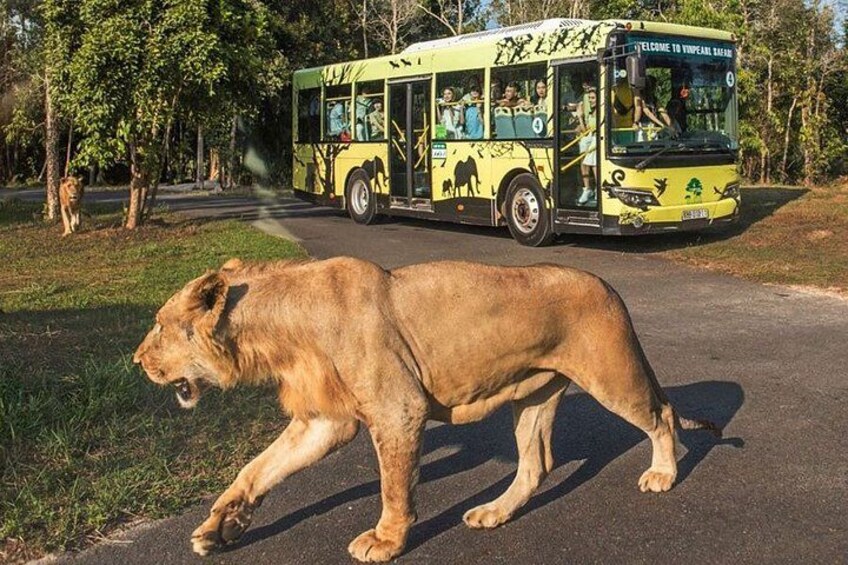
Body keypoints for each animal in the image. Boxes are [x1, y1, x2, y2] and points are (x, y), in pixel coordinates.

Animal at [133, 257, 720, 562]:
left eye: (159, 326)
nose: (137, 360)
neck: (279, 332)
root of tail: (609, 285)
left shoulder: (398, 408)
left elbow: (395, 487)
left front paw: (386, 541)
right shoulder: (324, 422)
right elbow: (256, 469)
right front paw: (221, 525)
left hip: (613, 376)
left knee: (662, 416)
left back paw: (663, 474)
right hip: (532, 394)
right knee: (537, 465)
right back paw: (493, 512)